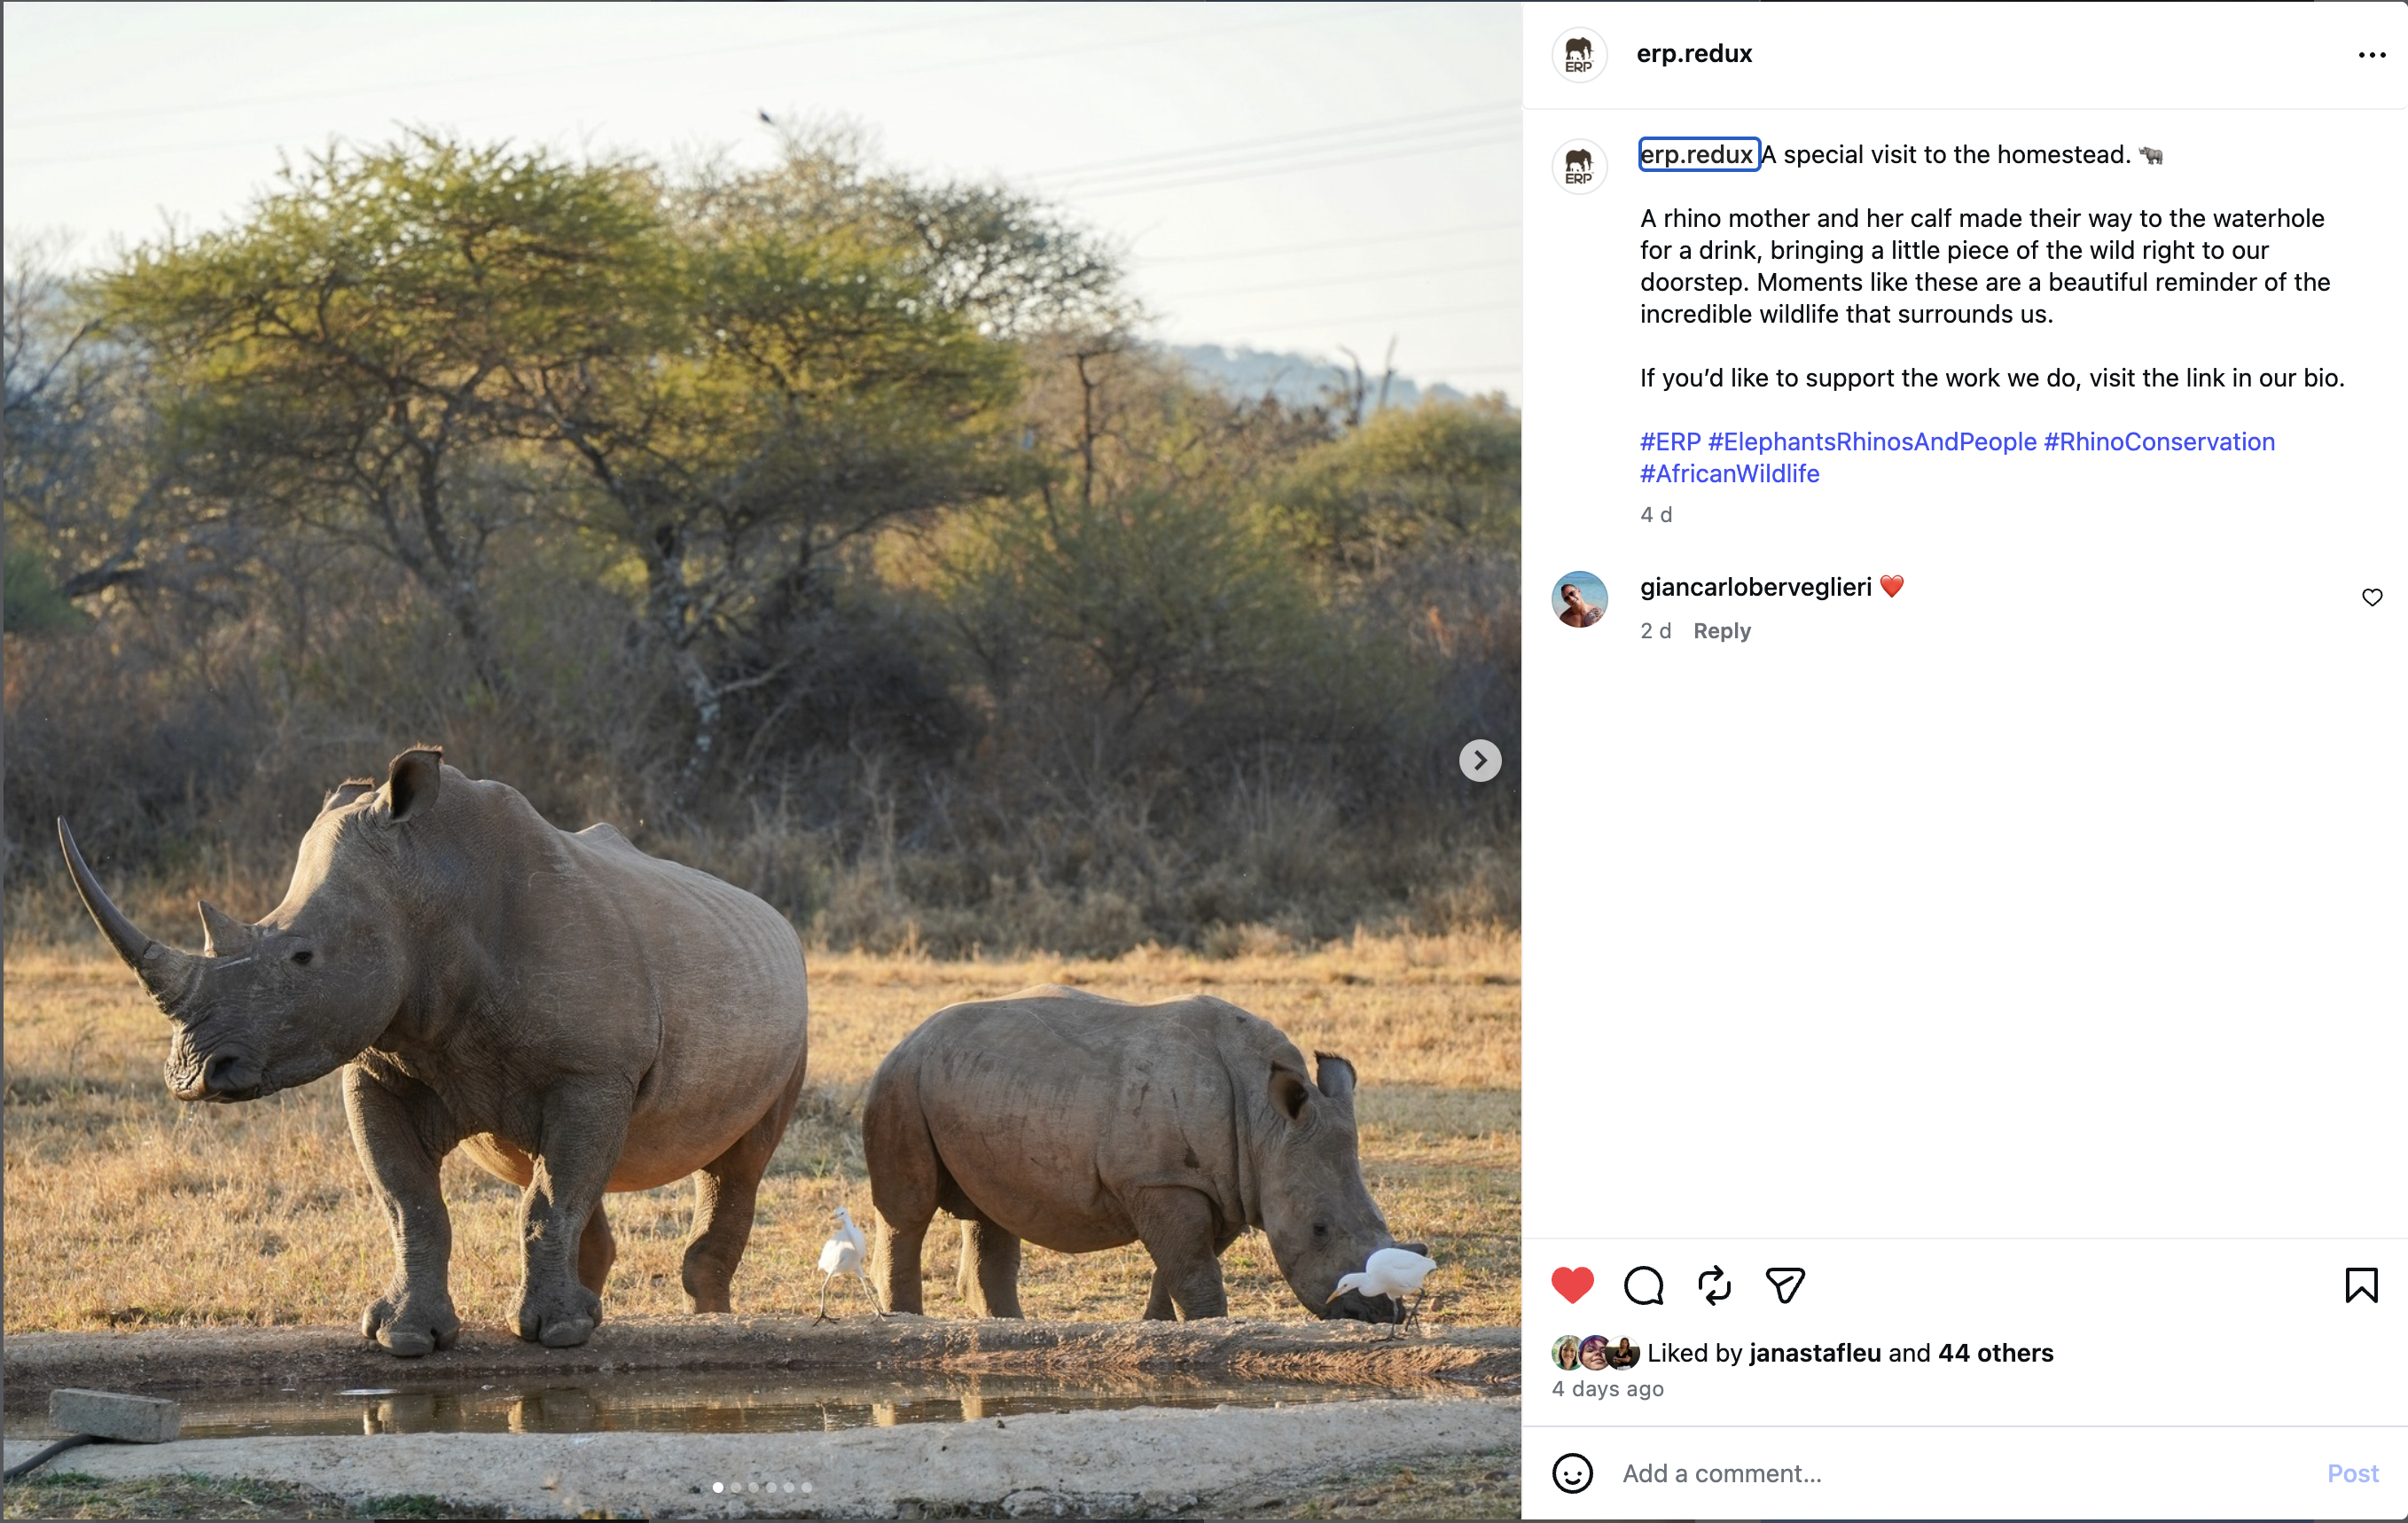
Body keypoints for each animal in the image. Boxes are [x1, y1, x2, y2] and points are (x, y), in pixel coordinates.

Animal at [58, 746, 810, 1356]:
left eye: (303, 957)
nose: (194, 1074)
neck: (430, 892)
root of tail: (773, 916)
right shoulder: (379, 1071)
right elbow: (412, 1203)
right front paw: (405, 1338)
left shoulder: (591, 1070)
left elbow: (546, 1201)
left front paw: (557, 1336)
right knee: (584, 1172)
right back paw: (598, 1311)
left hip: (786, 1015)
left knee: (735, 1165)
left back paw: (704, 1320)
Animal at [863, 987, 1415, 1322]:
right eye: (1320, 1229)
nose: (1382, 1311)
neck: (1266, 1124)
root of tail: (911, 1034)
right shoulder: (1162, 1179)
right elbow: (1195, 1273)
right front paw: (1209, 1326)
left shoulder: (1227, 1186)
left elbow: (1181, 1269)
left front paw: (1160, 1328)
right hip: (901, 1079)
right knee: (907, 1213)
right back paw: (907, 1320)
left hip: (980, 1084)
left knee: (992, 1212)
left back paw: (1007, 1325)